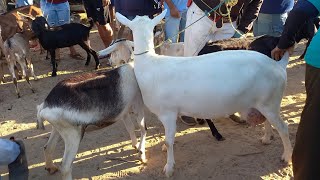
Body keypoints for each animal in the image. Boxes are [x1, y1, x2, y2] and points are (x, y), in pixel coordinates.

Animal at [116, 10, 294, 177]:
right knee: (268, 122)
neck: (151, 63)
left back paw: (286, 156)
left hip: (270, 102)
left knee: (283, 128)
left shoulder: (168, 113)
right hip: (263, 103)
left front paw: (169, 168)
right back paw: (266, 139)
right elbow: (168, 139)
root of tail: (278, 65)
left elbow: (168, 141)